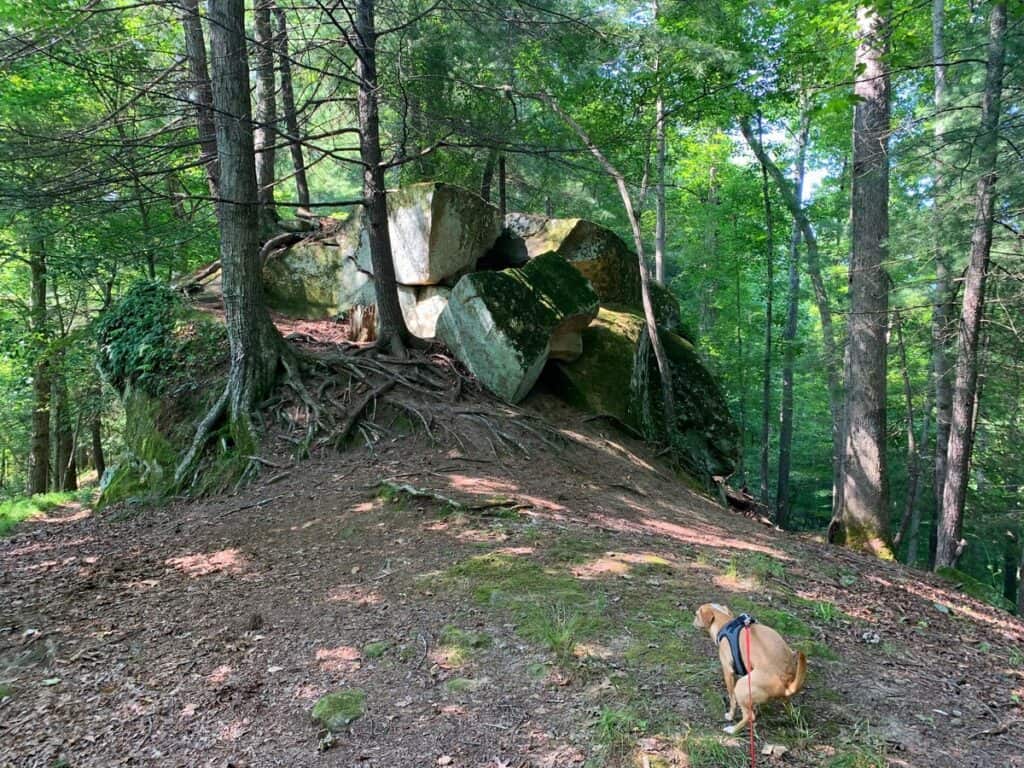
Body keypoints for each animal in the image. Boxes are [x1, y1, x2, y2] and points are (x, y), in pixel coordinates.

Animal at [696, 606, 806, 737]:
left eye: (696, 615)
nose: (693, 621)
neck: (726, 623)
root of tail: (786, 681)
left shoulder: (728, 671)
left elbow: (732, 698)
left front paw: (730, 715)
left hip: (741, 686)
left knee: (750, 716)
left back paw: (732, 729)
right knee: (789, 707)